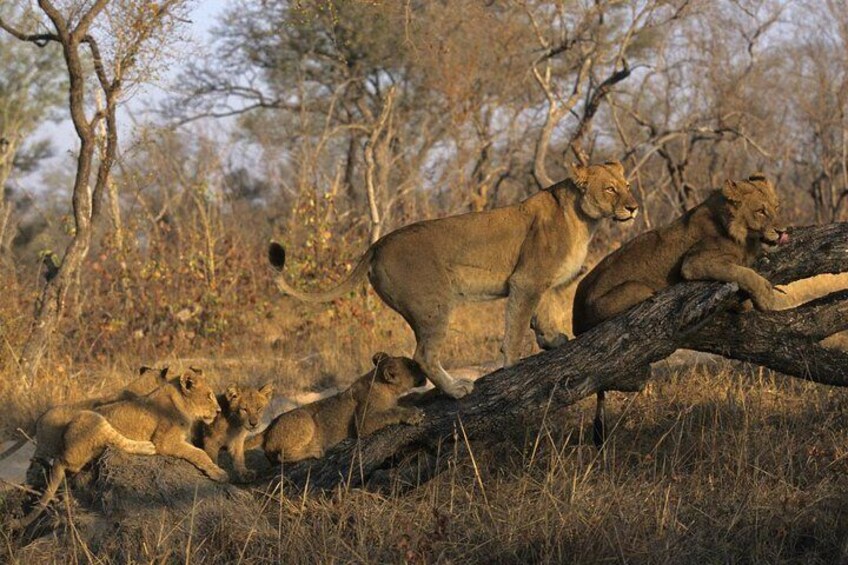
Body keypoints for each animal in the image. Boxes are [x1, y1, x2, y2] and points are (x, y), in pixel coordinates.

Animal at [15, 367, 225, 528]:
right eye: (209, 396)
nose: (219, 411)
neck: (183, 405)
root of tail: (60, 455)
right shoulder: (166, 441)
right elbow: (199, 453)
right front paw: (218, 472)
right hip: (93, 417)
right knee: (120, 443)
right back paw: (147, 447)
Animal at [255, 353, 427, 463]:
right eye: (411, 365)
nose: (421, 366)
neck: (387, 388)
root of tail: (268, 428)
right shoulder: (364, 422)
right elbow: (391, 412)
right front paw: (413, 414)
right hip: (304, 419)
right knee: (282, 456)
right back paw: (315, 450)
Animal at [268, 162, 638, 399]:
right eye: (610, 189)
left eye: (627, 187)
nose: (634, 208)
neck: (583, 219)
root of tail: (377, 244)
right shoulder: (525, 280)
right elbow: (516, 326)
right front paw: (511, 364)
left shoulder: (540, 282)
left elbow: (542, 313)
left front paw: (552, 340)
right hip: (434, 304)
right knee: (423, 355)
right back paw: (456, 390)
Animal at [571, 173, 789, 445]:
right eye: (760, 211)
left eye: (777, 208)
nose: (782, 231)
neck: (739, 233)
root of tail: (575, 321)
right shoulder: (695, 262)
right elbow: (742, 271)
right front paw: (765, 296)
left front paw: (744, 303)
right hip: (638, 289)